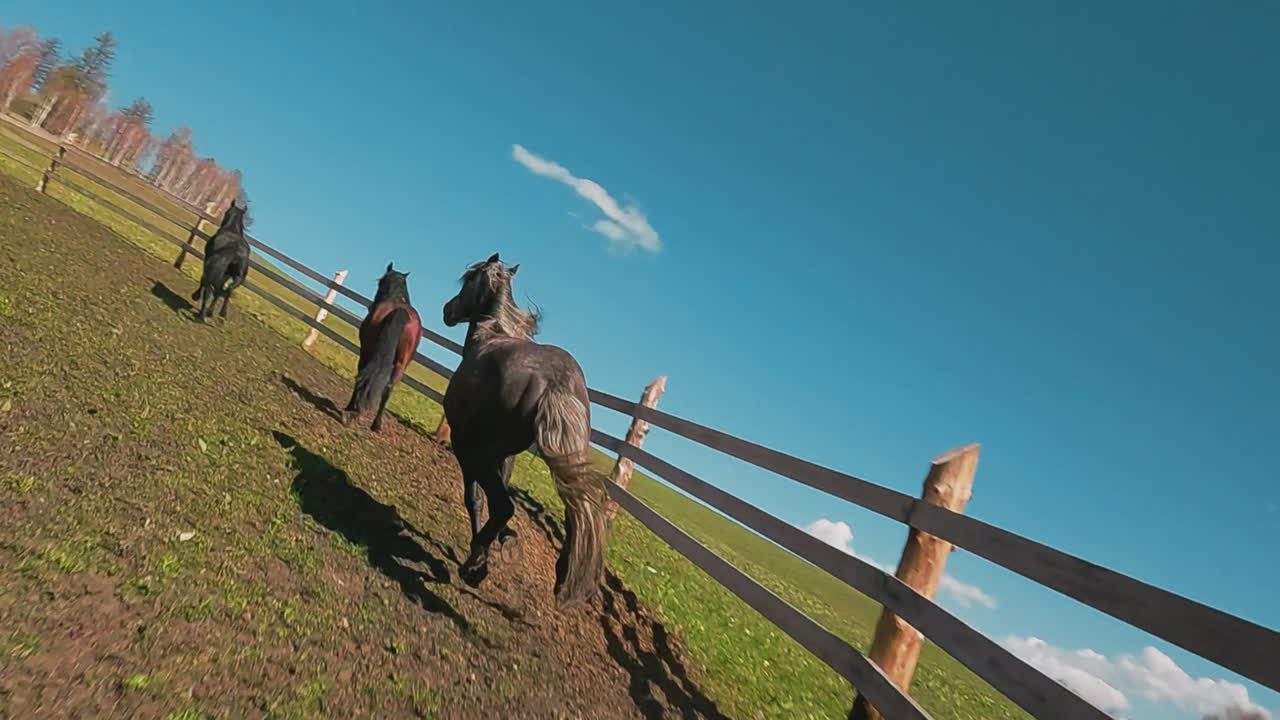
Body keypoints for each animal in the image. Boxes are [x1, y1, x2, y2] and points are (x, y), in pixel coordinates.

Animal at [343, 262, 423, 433]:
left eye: (379, 281)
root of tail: (400, 311)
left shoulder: (365, 352)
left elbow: (360, 375)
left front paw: (351, 408)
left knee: (364, 378)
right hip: (400, 364)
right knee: (388, 389)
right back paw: (377, 425)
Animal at [442, 253, 610, 610]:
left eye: (467, 280)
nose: (448, 310)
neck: (491, 334)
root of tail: (557, 382)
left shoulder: (467, 449)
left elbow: (475, 499)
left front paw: (483, 555)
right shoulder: (505, 456)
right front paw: (502, 541)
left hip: (480, 453)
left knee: (504, 506)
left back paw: (475, 563)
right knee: (575, 515)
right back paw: (561, 577)